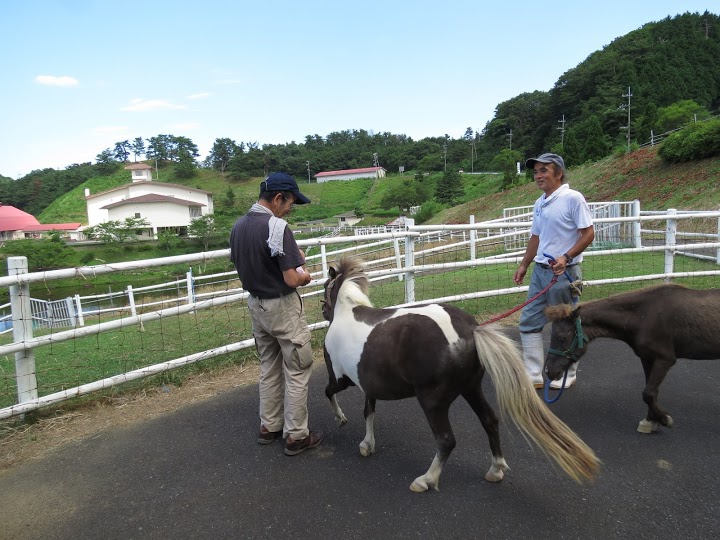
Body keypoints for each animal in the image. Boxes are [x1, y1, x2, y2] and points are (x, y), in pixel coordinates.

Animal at [324, 255, 600, 492]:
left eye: (326, 289)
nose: (324, 312)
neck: (347, 314)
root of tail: (470, 330)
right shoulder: (368, 384)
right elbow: (369, 411)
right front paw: (367, 444)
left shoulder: (341, 380)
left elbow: (329, 393)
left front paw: (340, 419)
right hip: (471, 389)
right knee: (490, 420)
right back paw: (496, 470)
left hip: (432, 401)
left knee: (446, 440)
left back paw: (425, 480)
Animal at [544, 284, 720, 432]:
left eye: (561, 338)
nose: (549, 371)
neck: (644, 316)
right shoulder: (647, 358)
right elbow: (651, 392)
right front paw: (651, 421)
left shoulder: (665, 359)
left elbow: (648, 393)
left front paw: (664, 419)